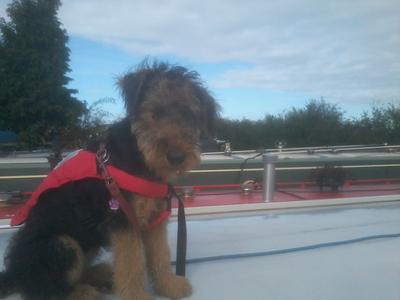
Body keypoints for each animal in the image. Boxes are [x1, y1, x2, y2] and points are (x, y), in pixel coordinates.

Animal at [0, 61, 219, 300]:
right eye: (155, 112)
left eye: (189, 115)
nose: (176, 157)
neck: (140, 155)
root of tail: (13, 274)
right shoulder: (123, 219)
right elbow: (132, 265)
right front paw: (138, 296)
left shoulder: (154, 219)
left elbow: (160, 255)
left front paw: (169, 286)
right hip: (62, 243)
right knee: (43, 288)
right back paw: (84, 292)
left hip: (88, 242)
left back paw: (103, 276)